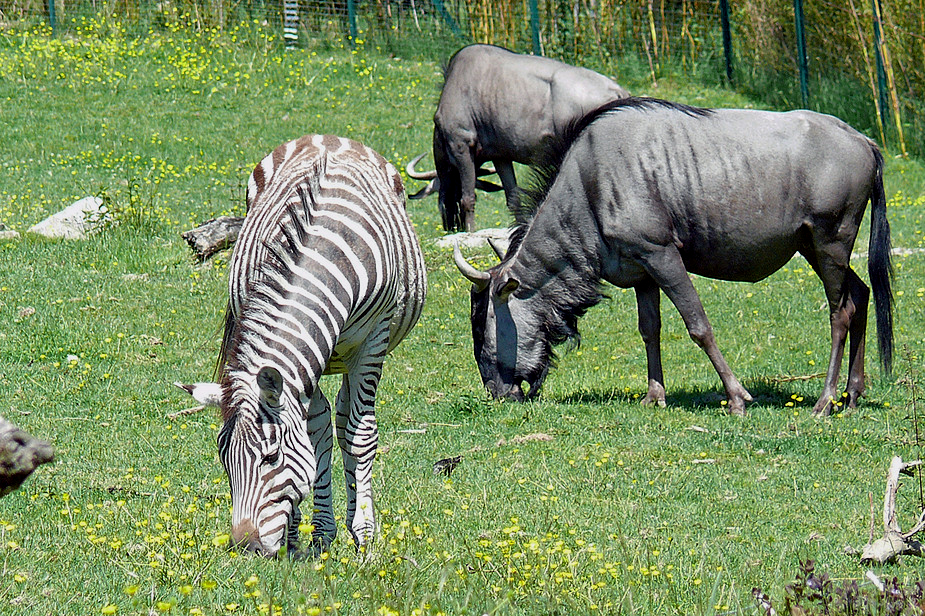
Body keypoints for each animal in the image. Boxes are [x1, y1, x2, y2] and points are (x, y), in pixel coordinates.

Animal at [182, 136, 428, 560]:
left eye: (271, 457)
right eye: (224, 461)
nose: (246, 548)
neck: (323, 253)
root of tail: (329, 137)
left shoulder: (373, 341)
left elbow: (359, 436)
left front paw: (365, 537)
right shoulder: (305, 358)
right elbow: (314, 435)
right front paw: (302, 537)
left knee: (347, 422)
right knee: (327, 423)